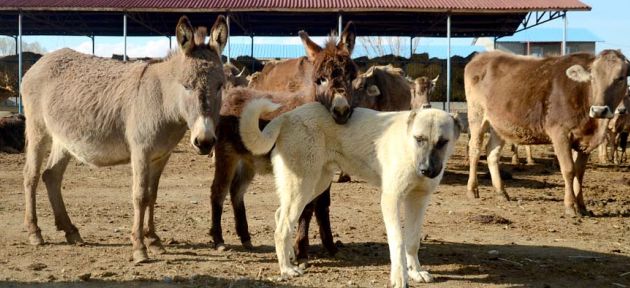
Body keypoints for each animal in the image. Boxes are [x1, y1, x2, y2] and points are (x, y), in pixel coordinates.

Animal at [211, 23, 360, 260]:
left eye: (352, 76)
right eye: (319, 79)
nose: (341, 111)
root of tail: (231, 94)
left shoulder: (326, 168)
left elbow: (323, 205)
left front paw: (330, 246)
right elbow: (307, 206)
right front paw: (301, 250)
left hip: (248, 161)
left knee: (236, 191)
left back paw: (245, 238)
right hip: (226, 156)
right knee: (218, 190)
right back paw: (218, 241)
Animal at [239, 99, 462, 288]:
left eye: (442, 142)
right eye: (419, 139)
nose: (426, 170)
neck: (409, 149)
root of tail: (287, 116)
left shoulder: (418, 201)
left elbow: (413, 241)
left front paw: (415, 272)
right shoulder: (390, 200)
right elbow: (398, 242)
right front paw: (400, 277)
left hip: (315, 185)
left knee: (280, 215)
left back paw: (290, 259)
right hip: (303, 187)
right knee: (282, 228)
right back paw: (286, 269)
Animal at [466, 50, 628, 216]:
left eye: (621, 78)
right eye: (592, 78)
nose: (599, 110)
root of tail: (483, 55)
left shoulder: (584, 141)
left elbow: (580, 172)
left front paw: (582, 207)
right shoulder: (560, 134)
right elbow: (569, 170)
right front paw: (570, 206)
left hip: (499, 124)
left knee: (491, 153)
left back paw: (501, 192)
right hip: (477, 115)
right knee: (475, 149)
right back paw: (472, 189)